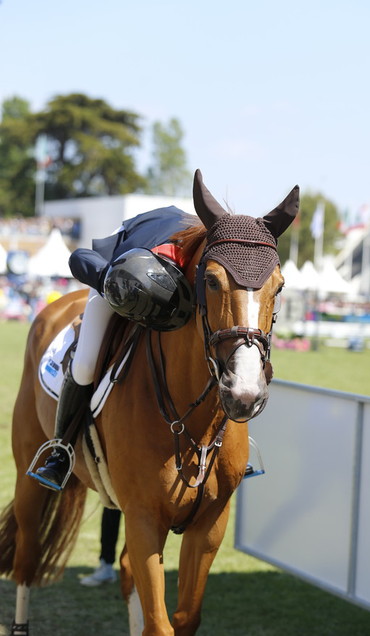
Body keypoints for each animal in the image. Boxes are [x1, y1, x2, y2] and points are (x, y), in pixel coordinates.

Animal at [0, 170, 298, 636]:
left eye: (279, 286)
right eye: (211, 281)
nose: (244, 393)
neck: (194, 425)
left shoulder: (209, 524)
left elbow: (184, 617)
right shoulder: (144, 520)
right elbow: (160, 624)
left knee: (122, 570)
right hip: (31, 477)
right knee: (27, 558)